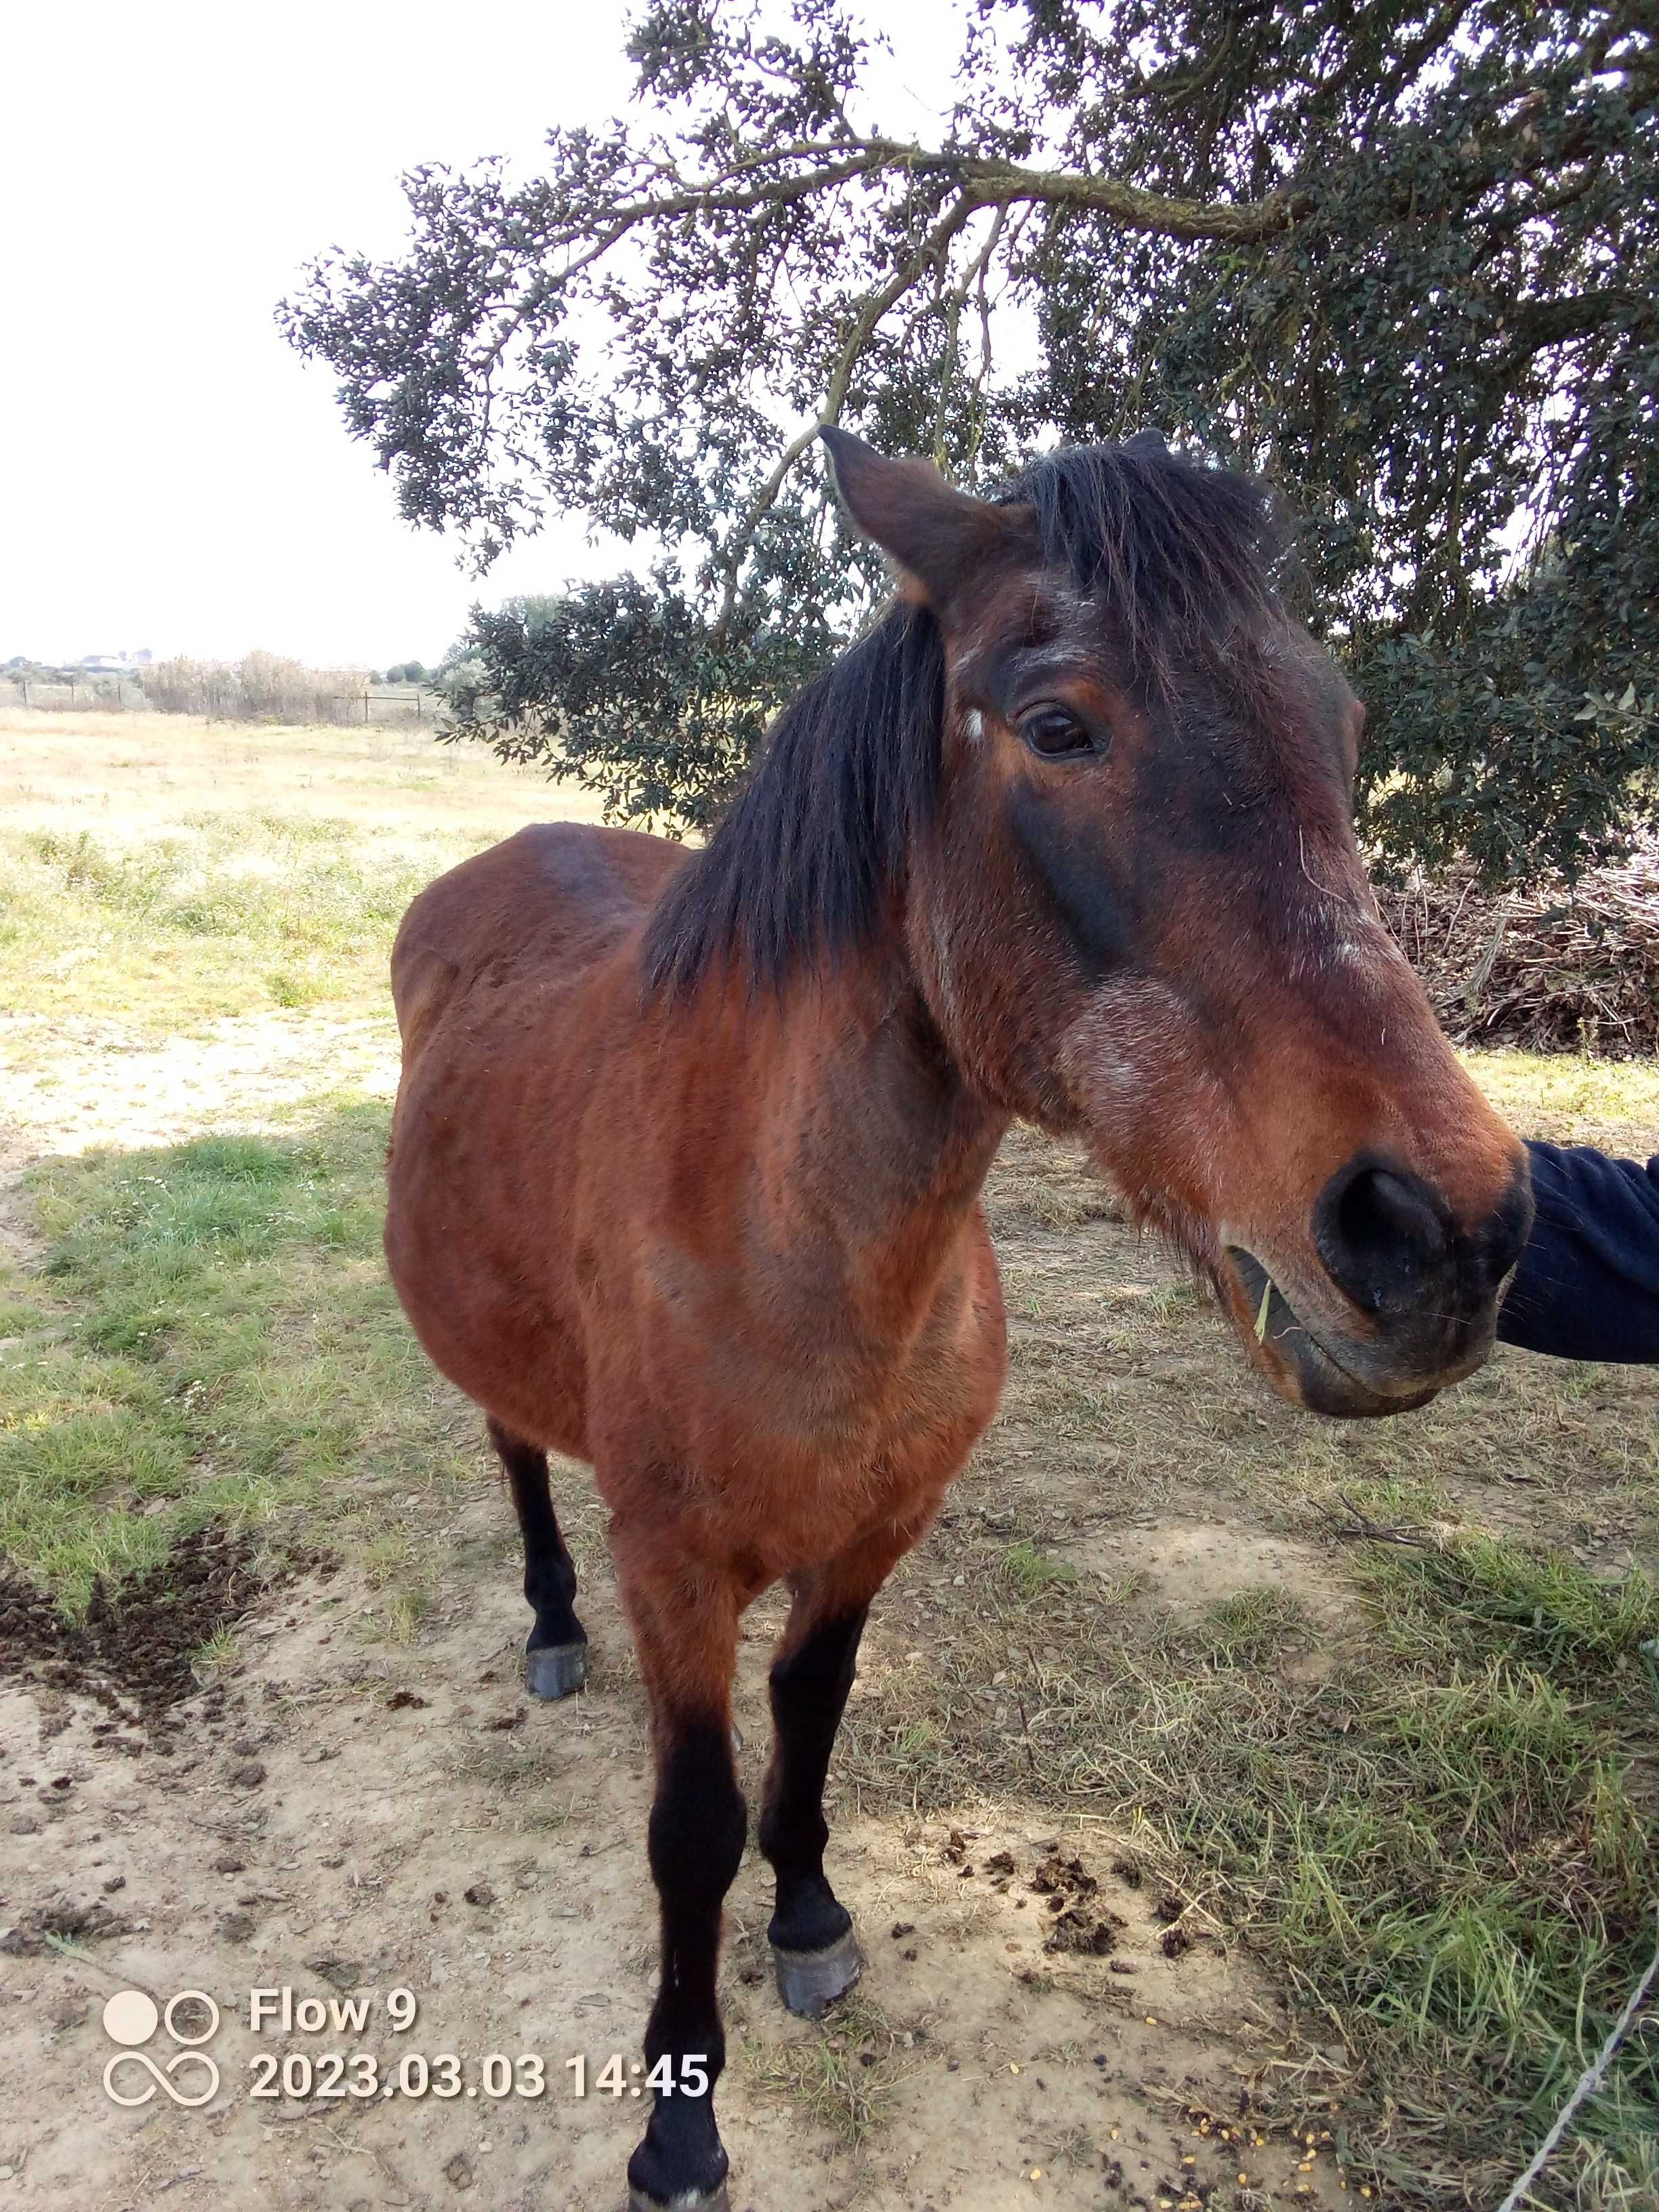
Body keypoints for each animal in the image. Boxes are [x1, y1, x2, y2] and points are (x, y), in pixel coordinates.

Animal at [387, 422, 1530, 2203]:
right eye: (1059, 725)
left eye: (1336, 722)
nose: (1445, 1237)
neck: (796, 1242)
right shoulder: (677, 1568)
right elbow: (688, 1826)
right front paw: (678, 2113)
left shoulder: (875, 1533)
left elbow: (813, 1718)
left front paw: (807, 1918)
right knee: (516, 1455)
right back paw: (554, 1628)